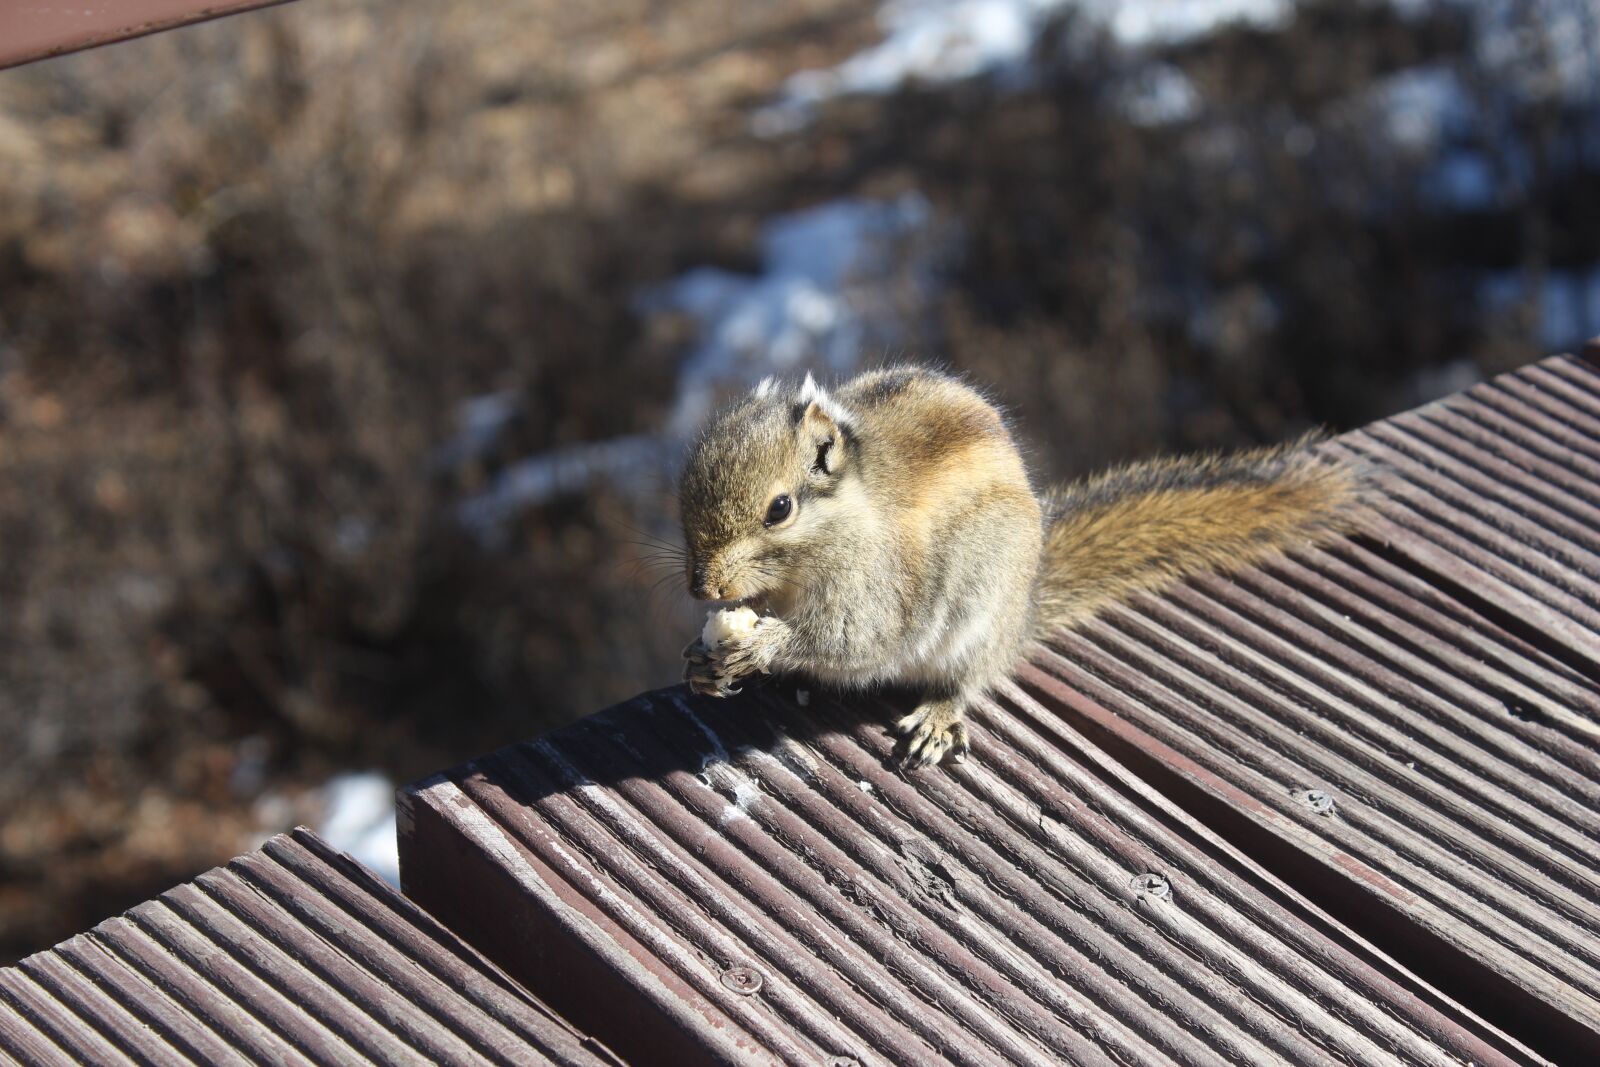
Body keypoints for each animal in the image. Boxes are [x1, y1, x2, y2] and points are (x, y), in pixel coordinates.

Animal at [678, 367, 1363, 767]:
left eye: (780, 508)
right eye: (685, 490)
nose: (702, 586)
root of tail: (1024, 609)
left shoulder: (879, 590)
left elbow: (851, 638)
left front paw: (762, 645)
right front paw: (702, 659)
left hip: (980, 613)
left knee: (967, 678)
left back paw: (938, 716)